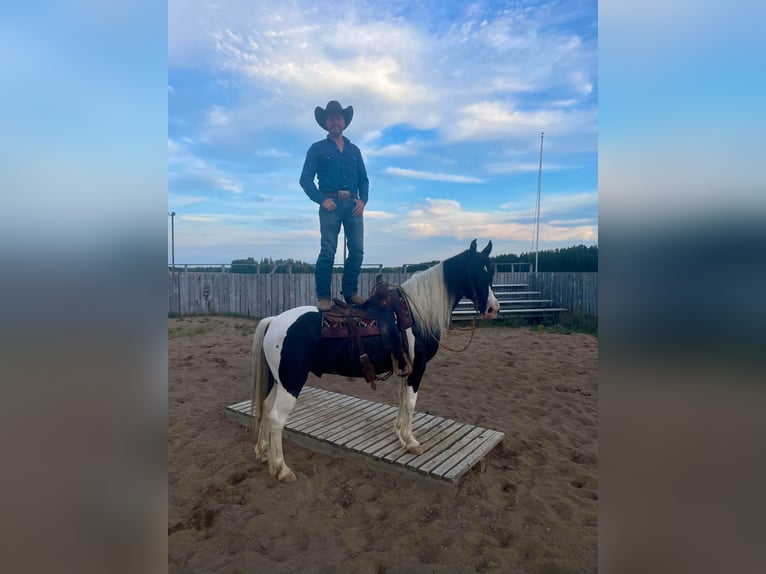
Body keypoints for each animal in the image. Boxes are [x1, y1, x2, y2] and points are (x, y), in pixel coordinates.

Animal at [252, 238, 500, 482]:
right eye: (475, 271)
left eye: (491, 272)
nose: (493, 308)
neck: (416, 313)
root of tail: (275, 320)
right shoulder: (418, 368)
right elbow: (411, 402)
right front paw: (411, 441)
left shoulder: (406, 368)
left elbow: (402, 399)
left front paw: (400, 434)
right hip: (291, 382)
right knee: (276, 418)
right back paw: (282, 468)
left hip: (279, 381)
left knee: (266, 407)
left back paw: (263, 452)